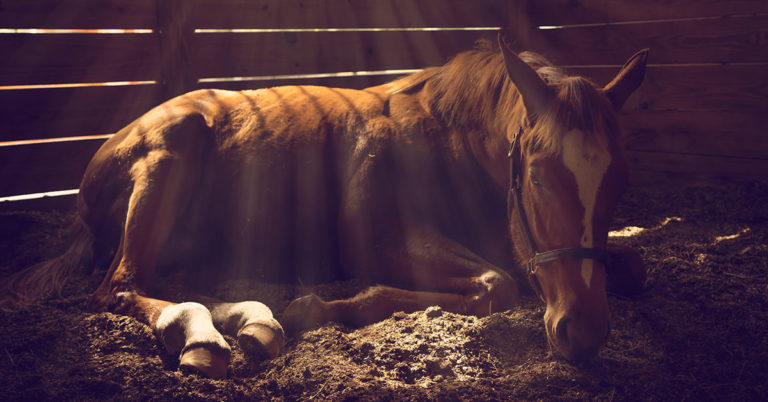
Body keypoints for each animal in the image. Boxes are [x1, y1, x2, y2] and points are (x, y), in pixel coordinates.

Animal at [0, 33, 648, 378]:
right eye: (537, 175)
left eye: (621, 180)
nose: (584, 332)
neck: (446, 136)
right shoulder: (377, 239)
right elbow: (498, 285)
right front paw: (324, 305)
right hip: (169, 155)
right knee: (119, 287)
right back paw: (208, 340)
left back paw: (254, 322)